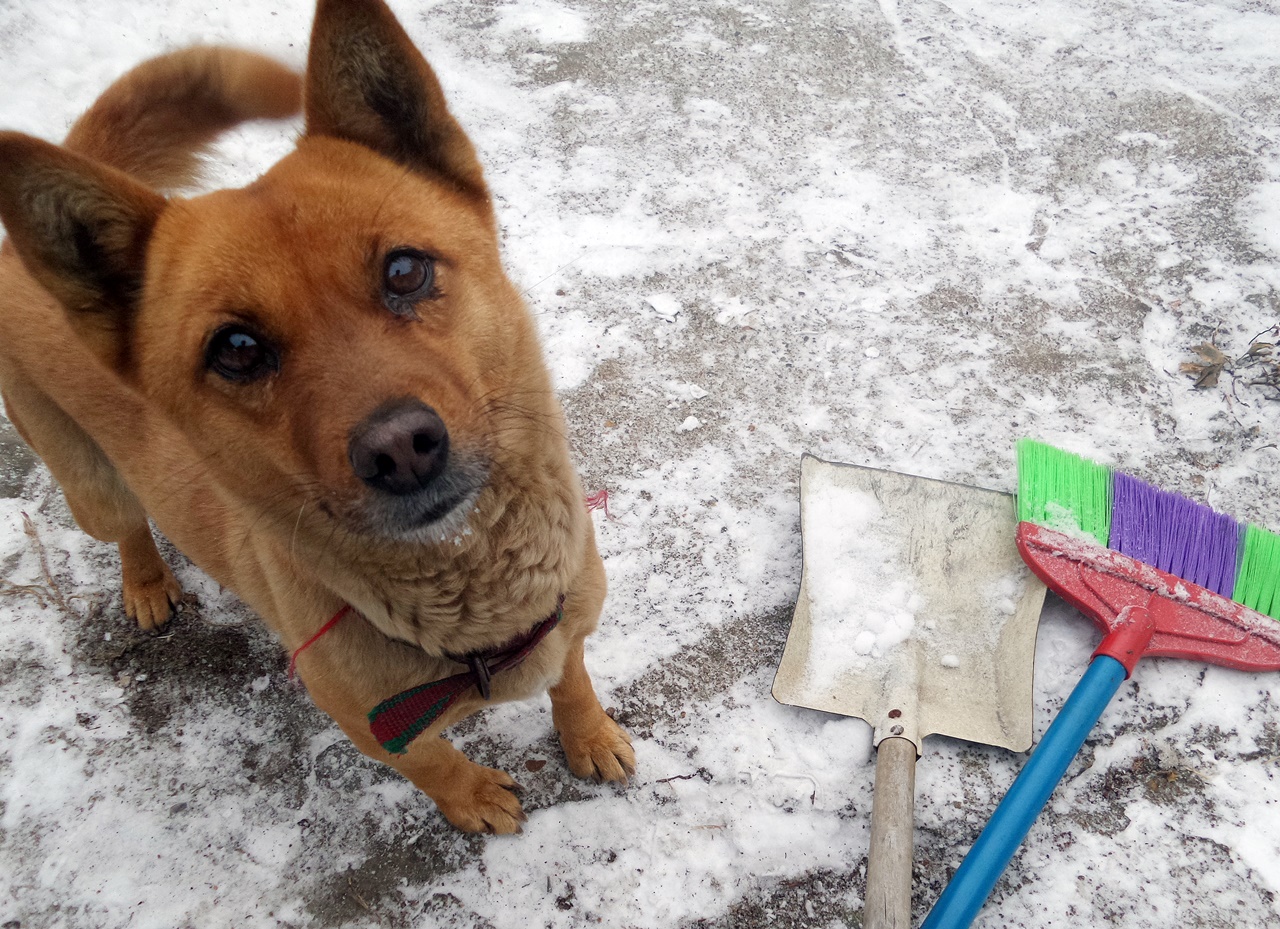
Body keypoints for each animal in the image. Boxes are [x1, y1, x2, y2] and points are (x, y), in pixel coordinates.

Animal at [0, 0, 634, 839]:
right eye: (236, 349)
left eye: (405, 269)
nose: (402, 449)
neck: (477, 607)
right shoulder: (376, 729)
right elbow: (435, 764)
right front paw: (472, 796)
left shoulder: (568, 628)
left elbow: (572, 678)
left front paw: (587, 733)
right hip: (87, 483)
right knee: (127, 522)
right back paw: (145, 580)